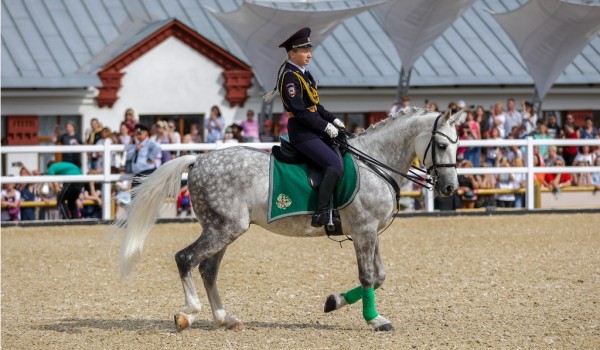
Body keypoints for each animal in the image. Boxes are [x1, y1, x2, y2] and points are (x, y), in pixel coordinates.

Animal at [116, 108, 464, 332]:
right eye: (442, 145)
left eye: (458, 144)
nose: (449, 188)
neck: (374, 164)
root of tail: (199, 159)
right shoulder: (365, 231)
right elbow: (368, 277)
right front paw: (374, 320)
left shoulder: (372, 233)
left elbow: (379, 276)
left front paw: (333, 302)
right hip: (223, 229)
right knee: (186, 259)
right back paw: (188, 314)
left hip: (223, 229)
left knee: (208, 269)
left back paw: (225, 319)